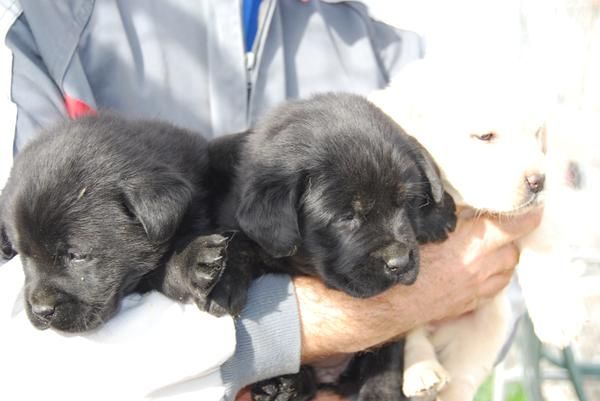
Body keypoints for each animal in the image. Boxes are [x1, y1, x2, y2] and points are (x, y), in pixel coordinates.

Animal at [209, 94, 458, 400]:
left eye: (407, 202)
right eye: (346, 217)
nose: (400, 262)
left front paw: (439, 211)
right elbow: (237, 242)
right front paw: (220, 281)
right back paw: (282, 386)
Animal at [370, 59, 592, 400]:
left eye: (537, 132)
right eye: (485, 137)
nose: (538, 181)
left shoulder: (539, 212)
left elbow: (542, 244)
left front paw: (558, 316)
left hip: (488, 327)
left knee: (460, 380)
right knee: (415, 336)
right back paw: (423, 372)